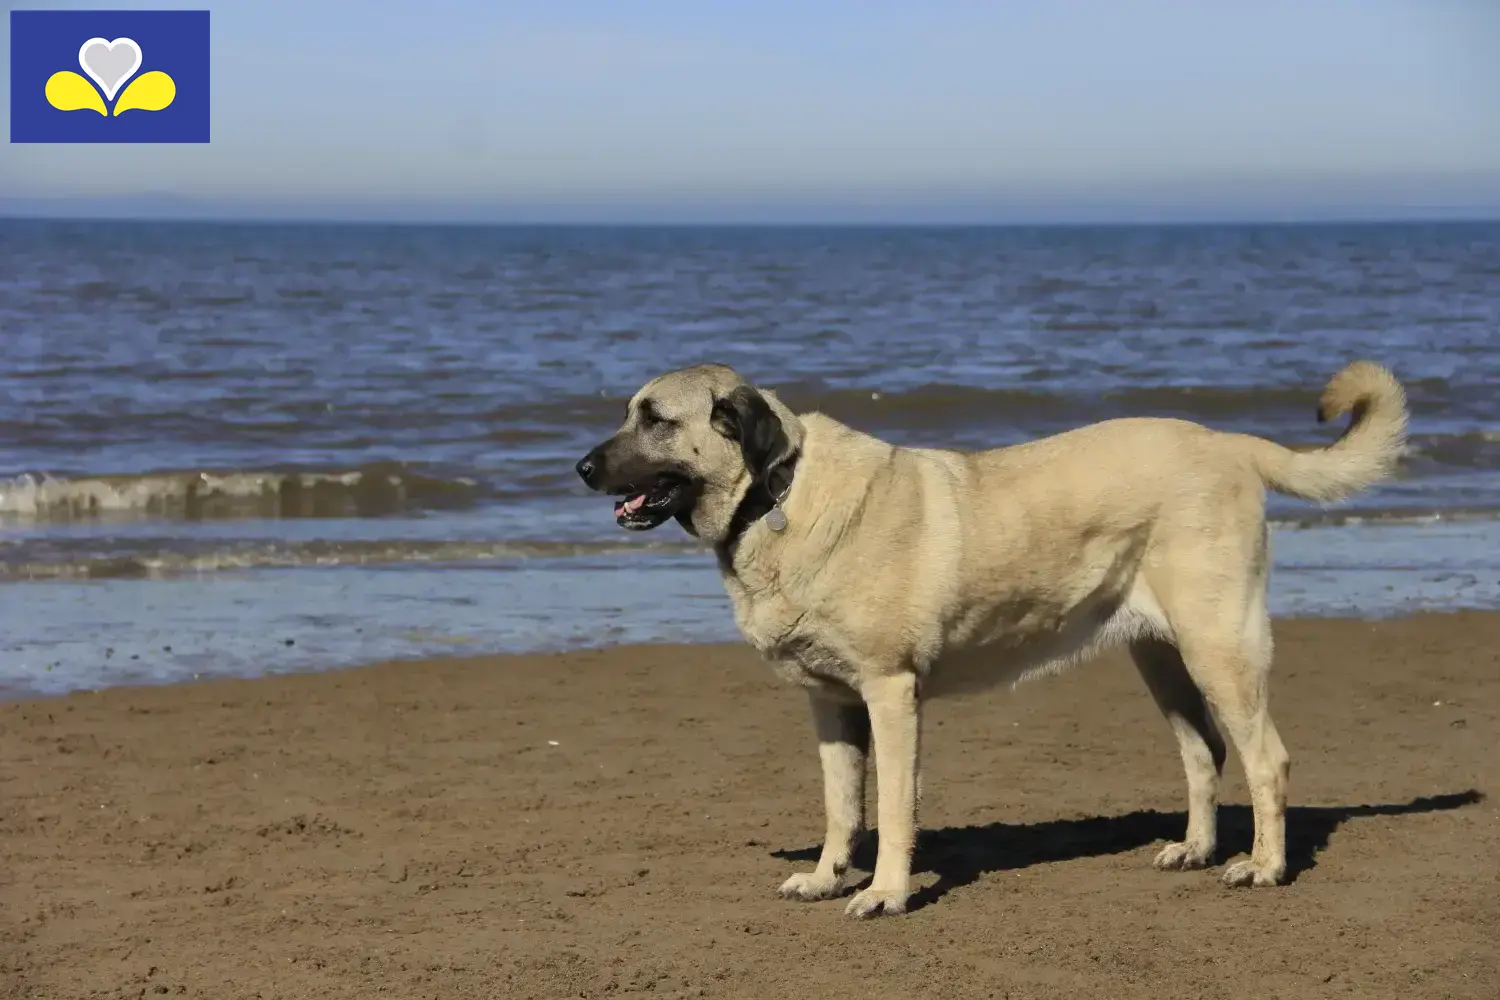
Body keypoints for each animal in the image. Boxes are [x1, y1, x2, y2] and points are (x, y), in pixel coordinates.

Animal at [570, 364, 1404, 917]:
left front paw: (886, 893)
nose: (579, 467)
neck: (775, 493)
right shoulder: (831, 706)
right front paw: (829, 876)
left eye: (656, 419)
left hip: (1218, 647)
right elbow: (842, 805)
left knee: (1267, 759)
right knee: (1205, 752)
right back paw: (1196, 850)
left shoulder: (890, 694)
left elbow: (893, 810)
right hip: (1161, 659)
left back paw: (1263, 865)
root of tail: (1229, 442)